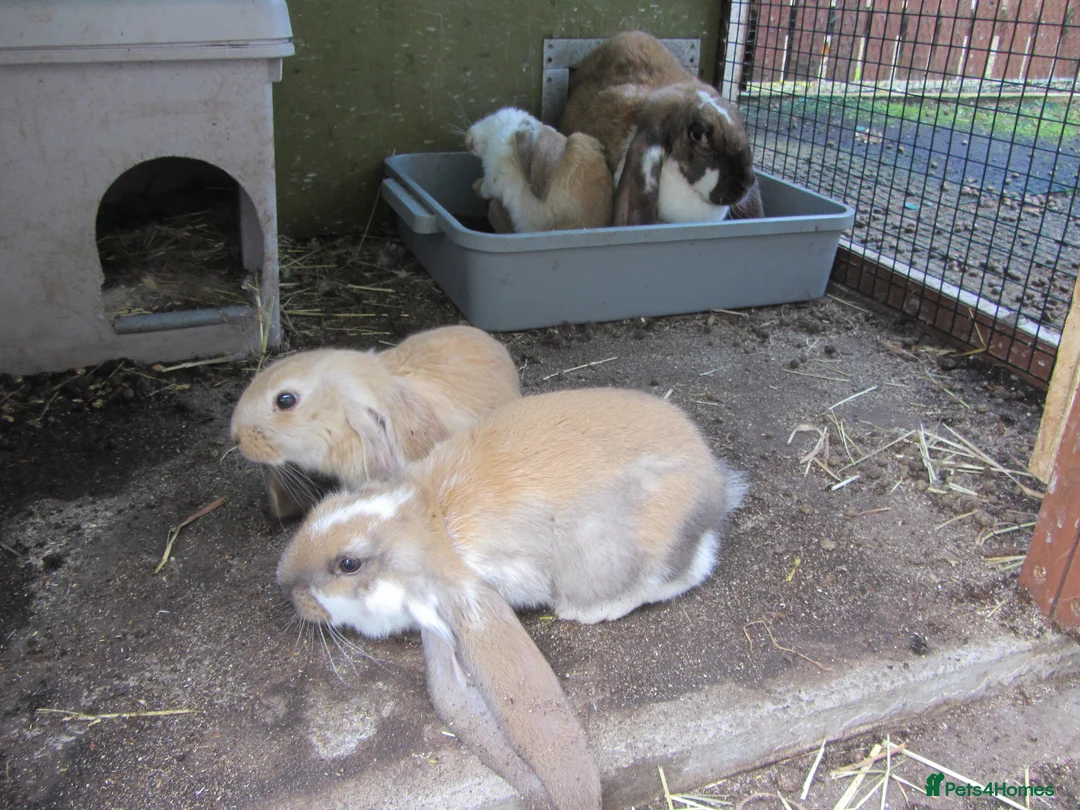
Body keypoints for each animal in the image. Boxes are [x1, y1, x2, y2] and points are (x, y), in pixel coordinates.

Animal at [276, 387, 746, 808]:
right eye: (322, 508)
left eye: (348, 563)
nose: (286, 584)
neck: (427, 522)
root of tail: (716, 489)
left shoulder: (462, 597)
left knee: (688, 571)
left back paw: (591, 610)